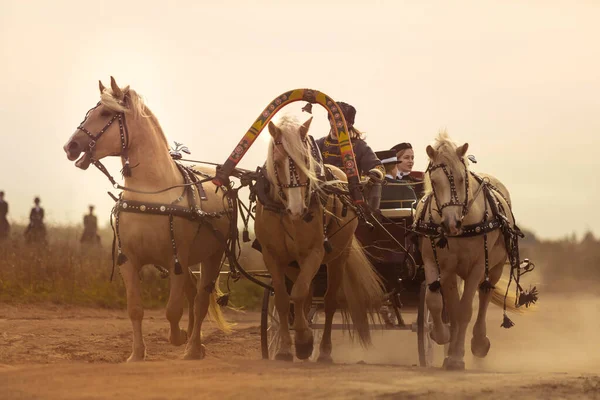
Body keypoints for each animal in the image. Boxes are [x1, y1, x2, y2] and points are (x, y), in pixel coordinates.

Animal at [63, 76, 230, 360]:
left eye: (105, 113)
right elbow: (135, 309)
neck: (152, 193)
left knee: (200, 299)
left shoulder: (176, 259)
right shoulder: (129, 261)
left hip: (213, 255)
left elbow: (173, 310)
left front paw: (178, 337)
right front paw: (137, 354)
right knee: (192, 292)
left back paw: (193, 347)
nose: (70, 146)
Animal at [255, 114, 382, 360]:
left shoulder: (314, 252)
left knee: (330, 301)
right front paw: (286, 348)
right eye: (277, 163)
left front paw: (304, 341)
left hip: (338, 258)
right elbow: (284, 299)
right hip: (294, 265)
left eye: (306, 159)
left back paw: (323, 350)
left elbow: (299, 294)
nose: (297, 209)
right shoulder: (272, 256)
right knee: (306, 296)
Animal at [414, 133, 532, 370]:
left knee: (484, 297)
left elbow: (466, 310)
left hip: (494, 267)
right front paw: (441, 336)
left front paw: (458, 356)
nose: (451, 223)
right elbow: (437, 303)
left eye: (461, 178)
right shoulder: (435, 263)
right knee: (452, 304)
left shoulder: (478, 267)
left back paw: (479, 342)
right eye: (434, 181)